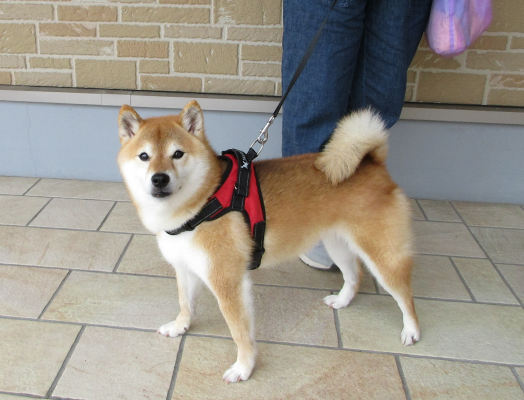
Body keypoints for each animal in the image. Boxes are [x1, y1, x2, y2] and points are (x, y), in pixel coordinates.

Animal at [117, 100, 420, 383]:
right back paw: (343, 300)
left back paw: (412, 330)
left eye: (177, 154)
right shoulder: (186, 268)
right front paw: (180, 327)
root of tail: (372, 162)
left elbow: (239, 331)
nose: (159, 178)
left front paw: (244, 367)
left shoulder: (227, 282)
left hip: (382, 256)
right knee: (354, 275)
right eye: (144, 156)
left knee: (404, 294)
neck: (202, 203)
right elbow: (185, 304)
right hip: (336, 244)